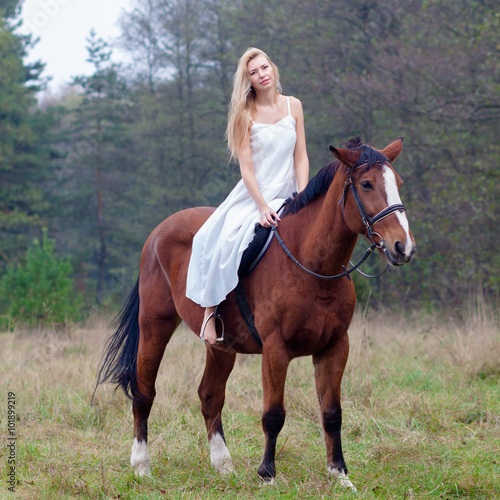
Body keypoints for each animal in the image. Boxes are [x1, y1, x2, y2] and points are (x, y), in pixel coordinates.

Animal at [96, 136, 414, 488]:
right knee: (144, 393)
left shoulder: (335, 347)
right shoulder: (275, 349)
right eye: (367, 184)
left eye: (398, 183)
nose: (403, 247)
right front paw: (267, 476)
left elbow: (332, 413)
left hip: (221, 346)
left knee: (210, 395)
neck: (314, 267)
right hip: (155, 326)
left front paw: (340, 475)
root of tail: (157, 233)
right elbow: (273, 415)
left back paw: (222, 464)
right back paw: (141, 465)